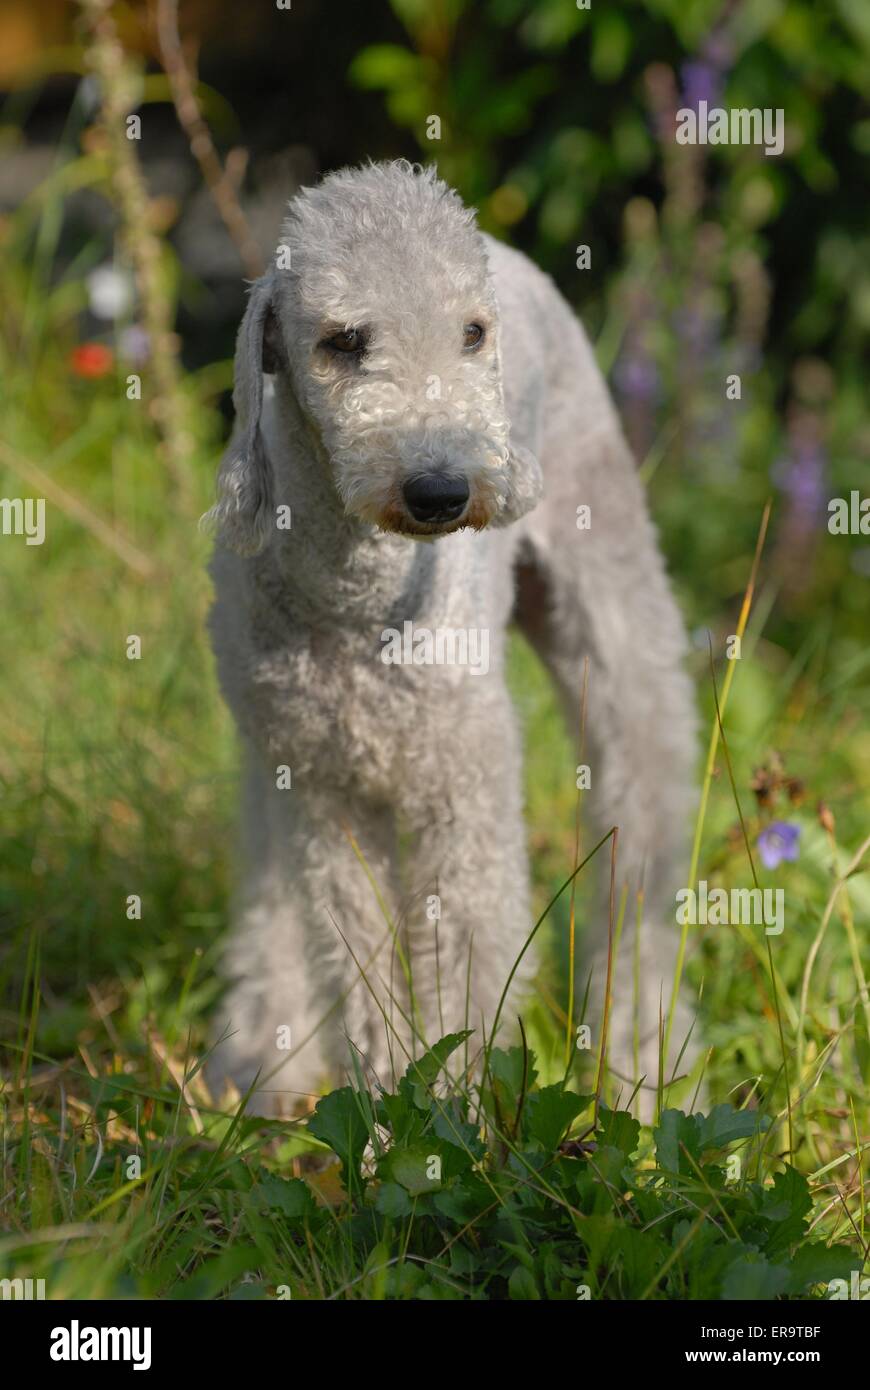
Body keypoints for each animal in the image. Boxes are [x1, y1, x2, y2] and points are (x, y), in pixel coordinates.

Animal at [201, 159, 692, 1117]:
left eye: (472, 333)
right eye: (345, 341)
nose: (441, 490)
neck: (360, 604)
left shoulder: (464, 783)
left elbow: (467, 963)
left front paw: (450, 1118)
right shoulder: (317, 783)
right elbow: (353, 954)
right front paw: (383, 1111)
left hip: (613, 584)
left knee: (644, 830)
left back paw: (638, 1069)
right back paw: (262, 1054)